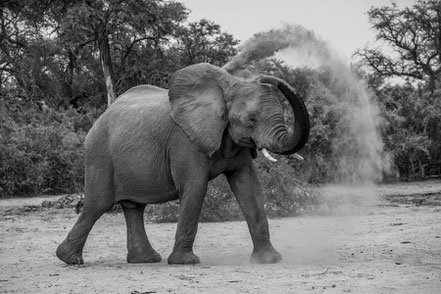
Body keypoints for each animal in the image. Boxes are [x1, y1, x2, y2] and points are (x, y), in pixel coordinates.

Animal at [55, 62, 310, 266]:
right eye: (252, 119)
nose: (264, 77)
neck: (225, 88)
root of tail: (101, 116)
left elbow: (249, 187)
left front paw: (269, 260)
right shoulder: (184, 140)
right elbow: (196, 187)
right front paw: (185, 262)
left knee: (133, 207)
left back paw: (145, 260)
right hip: (99, 154)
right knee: (97, 204)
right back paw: (70, 259)